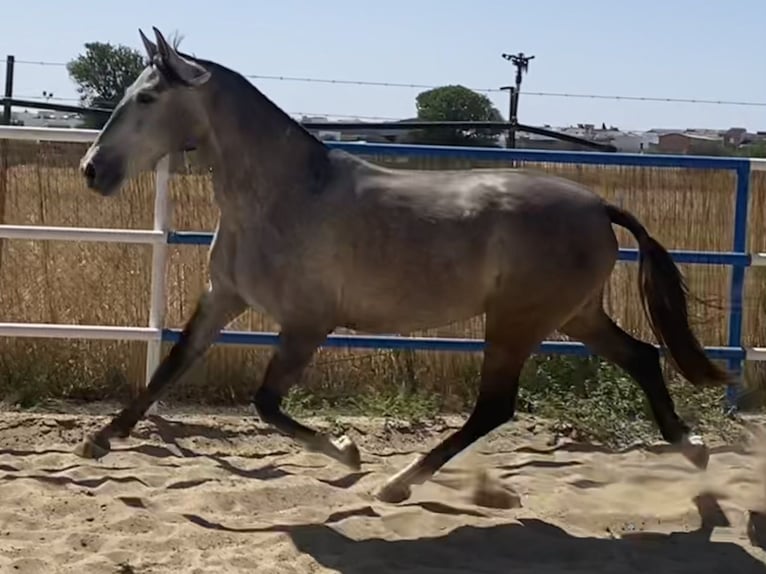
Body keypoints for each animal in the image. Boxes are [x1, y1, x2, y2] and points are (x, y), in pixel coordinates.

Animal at [76, 27, 732, 504]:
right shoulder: (223, 296)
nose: (91, 170)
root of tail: (597, 204)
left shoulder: (307, 324)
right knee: (642, 358)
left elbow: (266, 404)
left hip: (519, 320)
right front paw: (98, 442)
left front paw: (347, 453)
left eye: (148, 97)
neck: (285, 194)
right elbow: (172, 366)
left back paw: (397, 484)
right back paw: (693, 447)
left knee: (496, 406)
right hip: (574, 315)